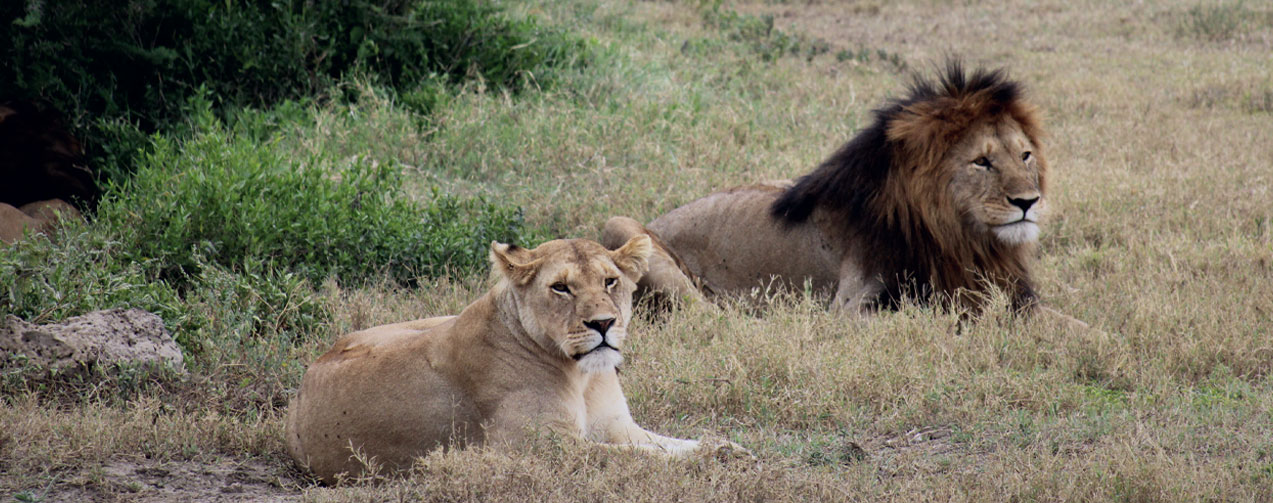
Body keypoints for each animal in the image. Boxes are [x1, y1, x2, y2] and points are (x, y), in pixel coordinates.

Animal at [285, 236, 733, 483]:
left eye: (610, 281)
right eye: (560, 288)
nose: (604, 323)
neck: (583, 376)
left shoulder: (619, 427)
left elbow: (670, 446)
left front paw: (727, 448)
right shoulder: (545, 451)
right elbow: (642, 460)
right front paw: (716, 460)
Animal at [608, 63, 1084, 323]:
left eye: (1025, 155)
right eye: (982, 162)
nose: (1028, 202)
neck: (962, 239)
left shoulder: (1011, 295)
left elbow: (1075, 325)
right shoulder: (853, 308)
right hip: (622, 228)